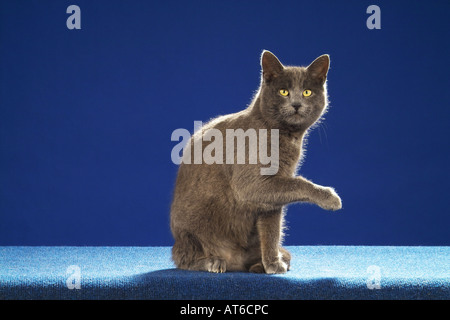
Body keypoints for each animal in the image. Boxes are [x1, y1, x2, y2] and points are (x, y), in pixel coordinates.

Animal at [169, 51, 342, 274]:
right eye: (284, 91)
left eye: (306, 92)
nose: (296, 104)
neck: (286, 136)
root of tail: (235, 262)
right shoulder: (252, 183)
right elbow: (297, 182)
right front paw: (331, 198)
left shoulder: (272, 194)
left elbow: (271, 229)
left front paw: (273, 263)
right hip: (191, 232)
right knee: (183, 259)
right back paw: (212, 262)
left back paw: (260, 264)